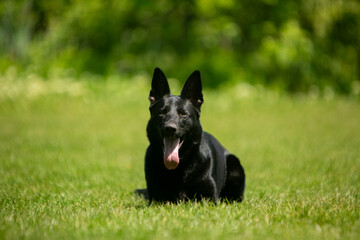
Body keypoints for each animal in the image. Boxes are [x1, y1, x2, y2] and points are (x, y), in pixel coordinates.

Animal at [138, 68, 245, 203]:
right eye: (162, 112)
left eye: (183, 114)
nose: (170, 128)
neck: (178, 169)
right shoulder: (157, 200)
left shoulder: (210, 199)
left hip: (234, 164)